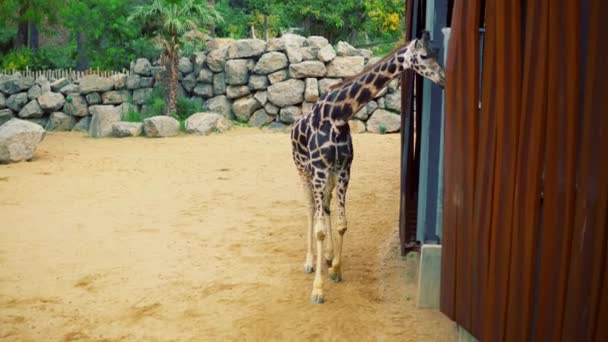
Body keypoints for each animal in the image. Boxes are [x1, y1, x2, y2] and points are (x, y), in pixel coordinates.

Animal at [292, 32, 444, 304]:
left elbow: (342, 223)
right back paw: (309, 262)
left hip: (328, 177)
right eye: (424, 55)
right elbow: (319, 229)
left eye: (437, 53)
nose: (444, 79)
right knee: (310, 209)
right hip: (304, 171)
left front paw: (336, 269)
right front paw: (318, 289)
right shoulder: (319, 169)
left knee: (326, 208)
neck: (338, 114)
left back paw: (327, 256)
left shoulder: (343, 169)